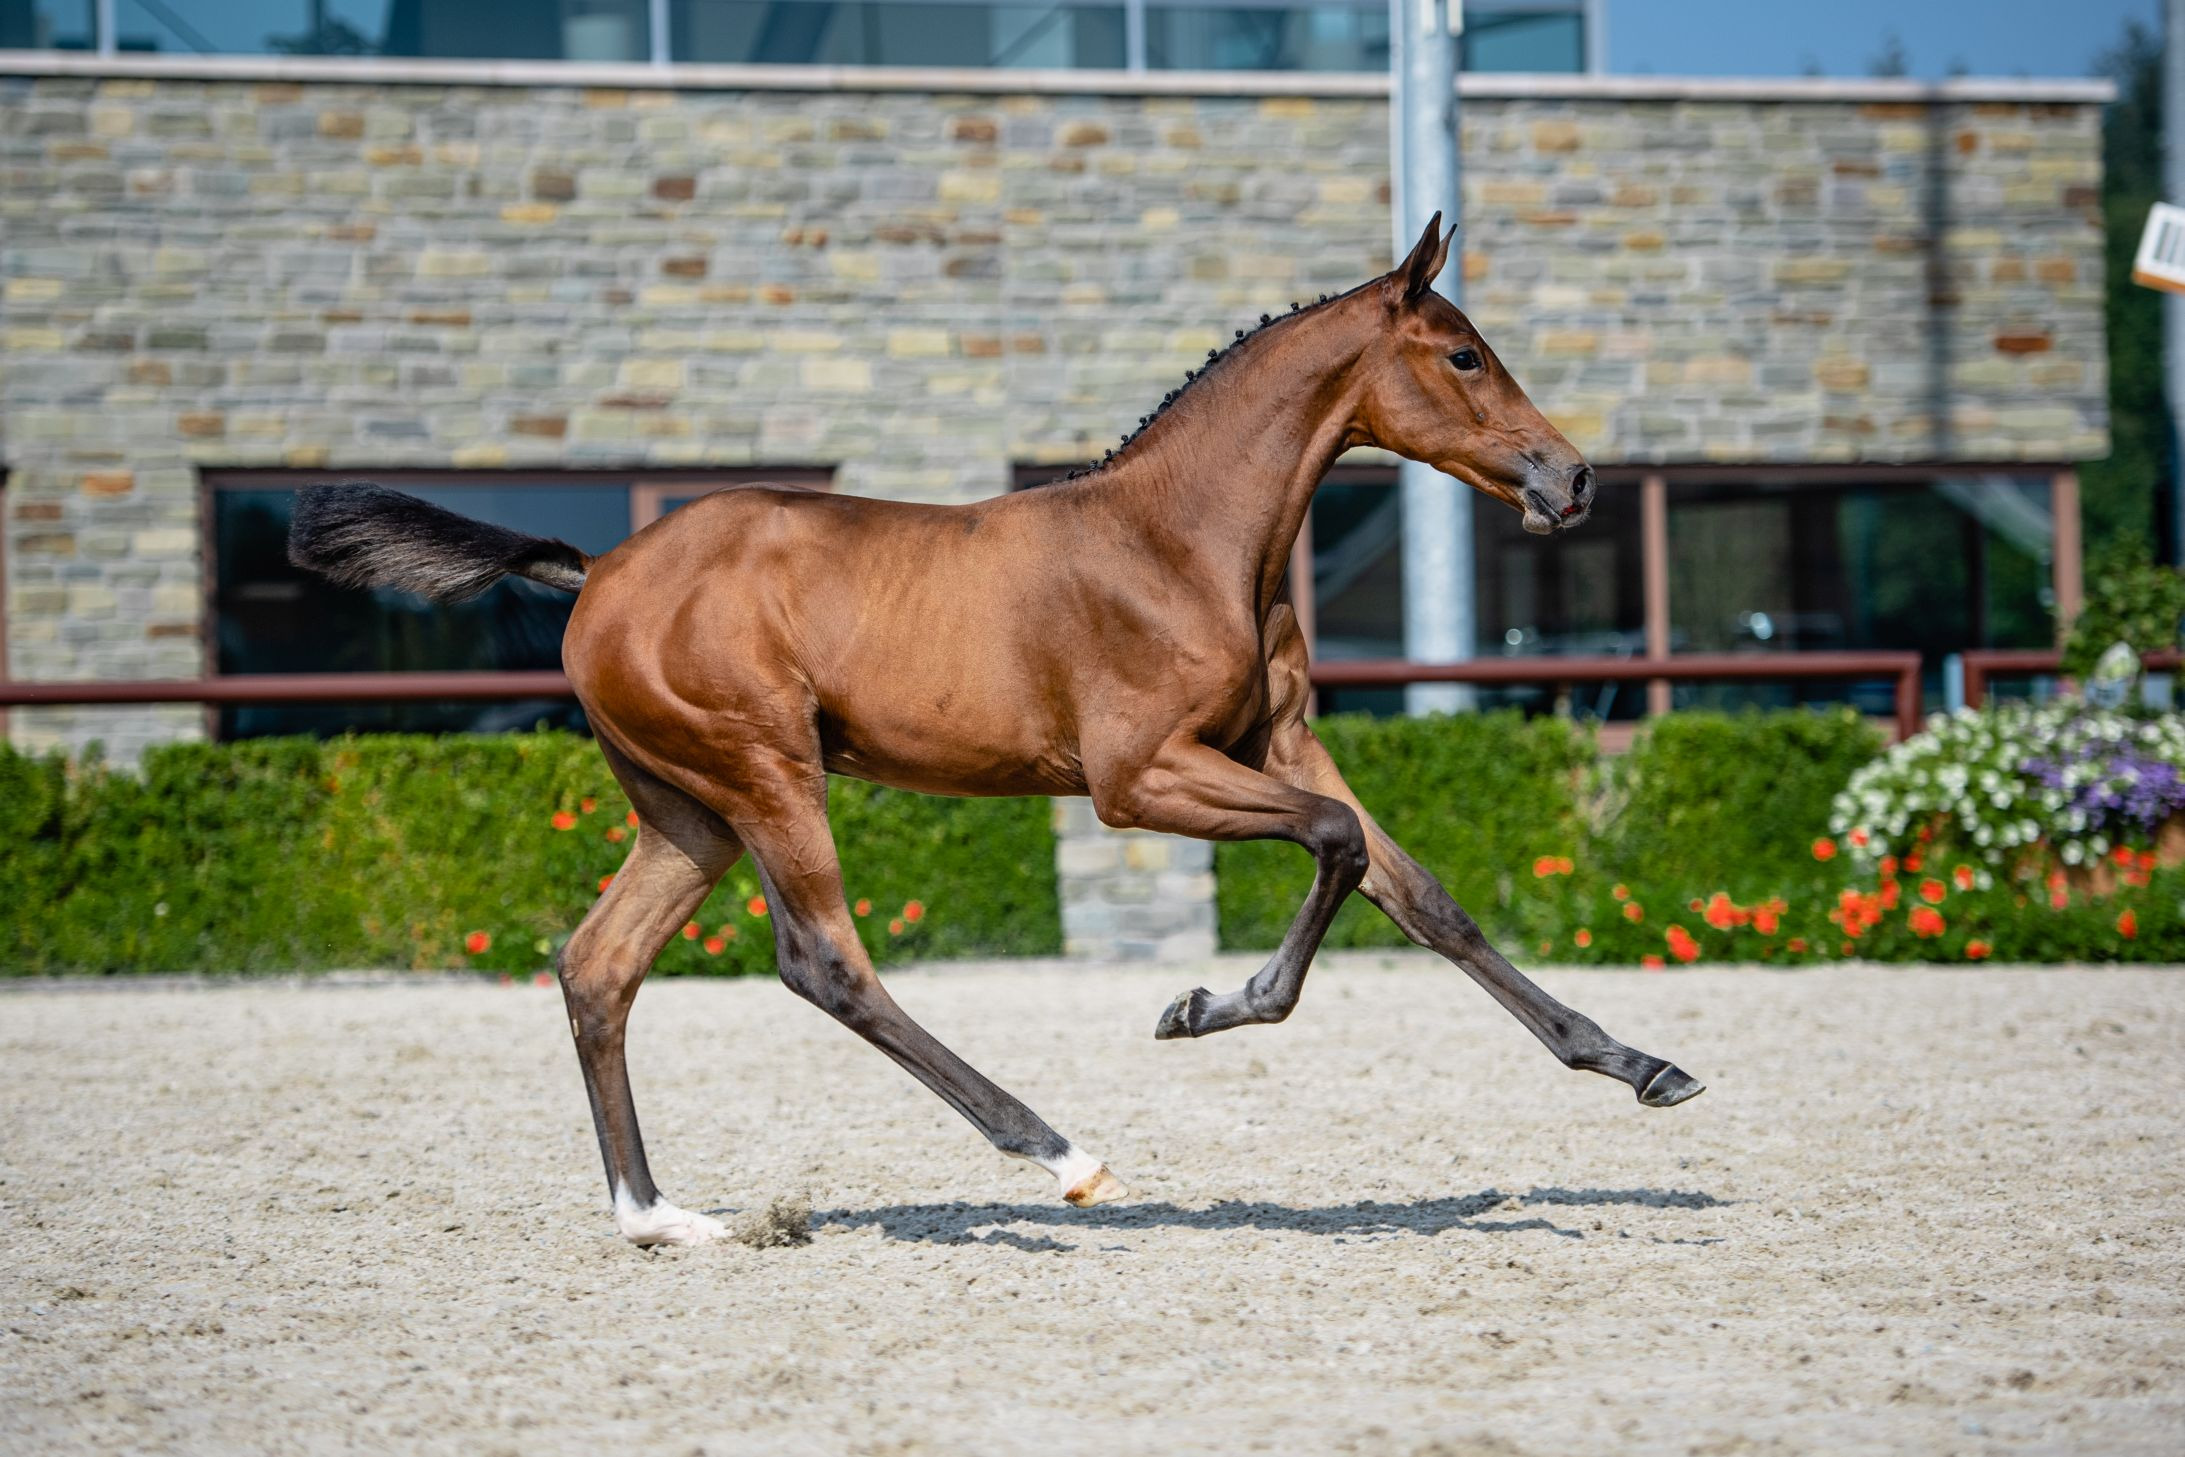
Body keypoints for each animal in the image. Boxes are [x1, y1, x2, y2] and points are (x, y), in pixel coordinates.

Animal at [289, 216, 1703, 1247]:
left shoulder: (1280, 744)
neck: (1181, 540)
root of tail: (596, 571)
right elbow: (1336, 844)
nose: (1571, 478)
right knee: (825, 962)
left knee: (598, 966)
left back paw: (656, 1216)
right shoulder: (1140, 779)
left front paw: (1640, 1064)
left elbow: (1427, 898)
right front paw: (1204, 1004)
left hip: (686, 812)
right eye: (1463, 355)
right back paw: (1059, 1153)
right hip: (766, 772)